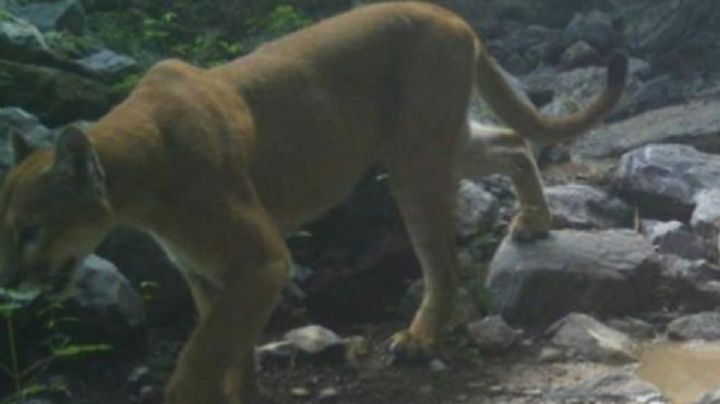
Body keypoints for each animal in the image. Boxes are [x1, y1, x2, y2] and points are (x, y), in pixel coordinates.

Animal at [0, 2, 626, 403]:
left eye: (30, 228)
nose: (11, 279)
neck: (140, 178)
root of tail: (449, 13)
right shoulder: (209, 271)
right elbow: (229, 345)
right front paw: (244, 394)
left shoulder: (261, 258)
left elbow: (203, 352)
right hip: (444, 146)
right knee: (514, 140)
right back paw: (533, 220)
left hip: (415, 162)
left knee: (443, 265)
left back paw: (418, 339)